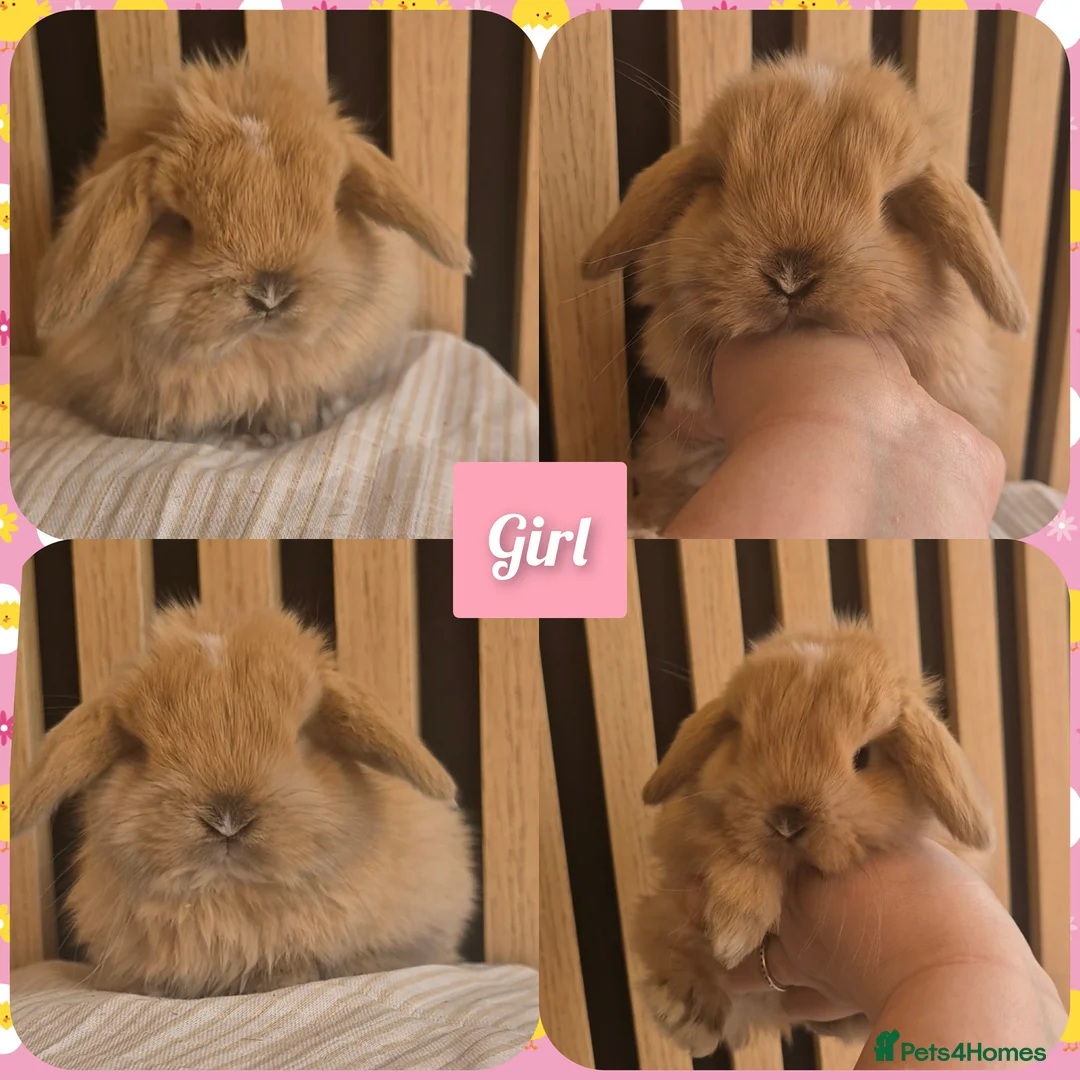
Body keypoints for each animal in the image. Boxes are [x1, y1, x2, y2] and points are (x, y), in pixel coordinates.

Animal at [30, 56, 471, 444]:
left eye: (333, 207)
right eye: (181, 223)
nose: (270, 295)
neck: (252, 352)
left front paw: (288, 429)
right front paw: (156, 432)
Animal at [631, 619, 994, 1057]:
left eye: (862, 758)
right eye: (743, 741)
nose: (787, 821)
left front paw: (732, 933)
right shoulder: (687, 831)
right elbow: (733, 852)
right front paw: (733, 932)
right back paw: (684, 1013)